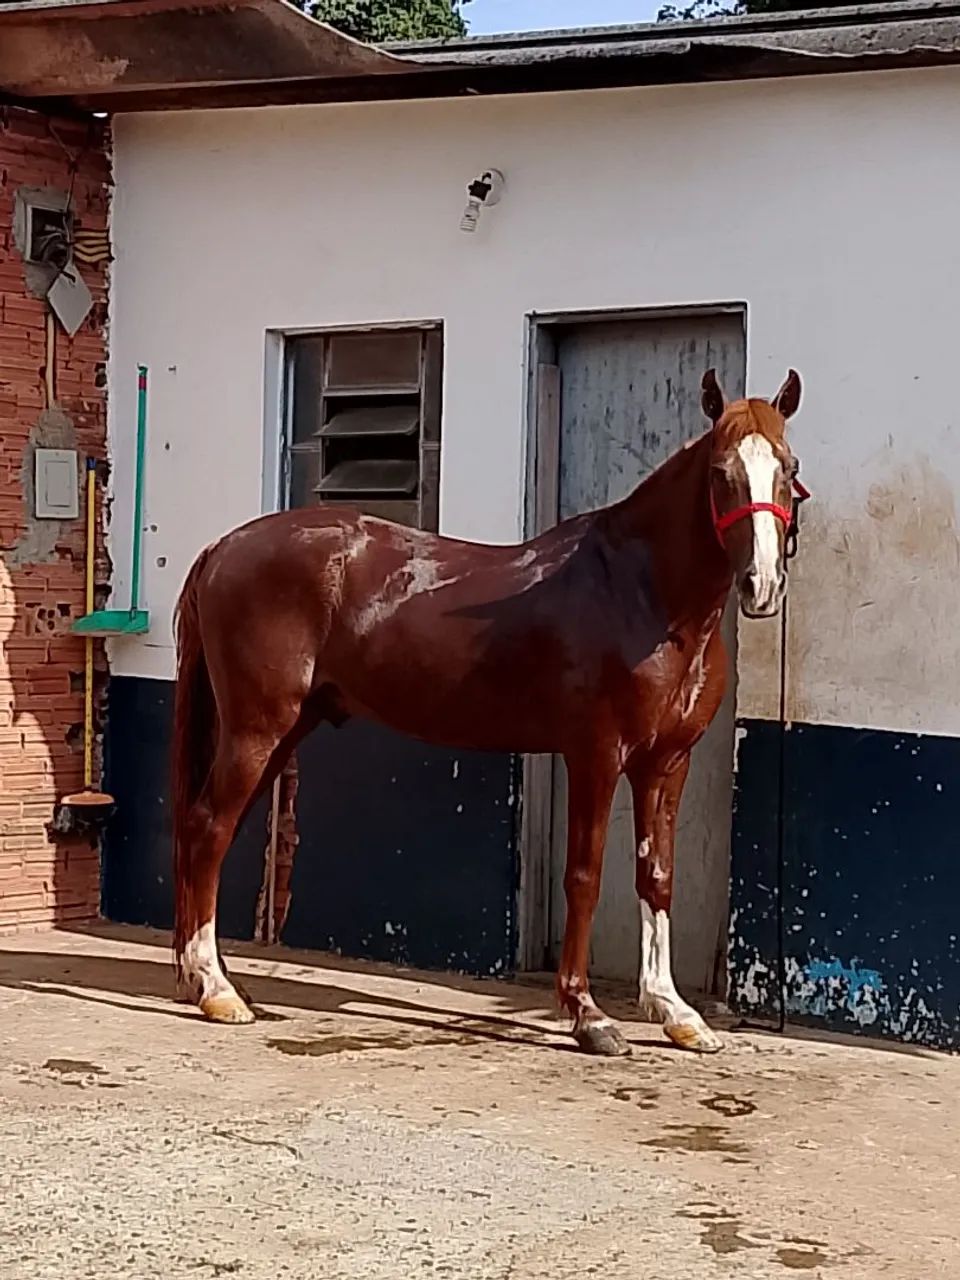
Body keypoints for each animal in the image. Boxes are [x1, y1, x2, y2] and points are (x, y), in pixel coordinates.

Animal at [171, 366, 805, 1056]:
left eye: (788, 467)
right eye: (721, 472)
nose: (763, 586)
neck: (641, 594)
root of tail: (223, 548)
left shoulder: (666, 762)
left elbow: (656, 874)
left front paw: (675, 1012)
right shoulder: (596, 755)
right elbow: (584, 876)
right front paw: (589, 1015)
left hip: (285, 732)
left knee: (210, 831)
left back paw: (202, 977)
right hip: (256, 730)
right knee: (208, 828)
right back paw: (216, 990)